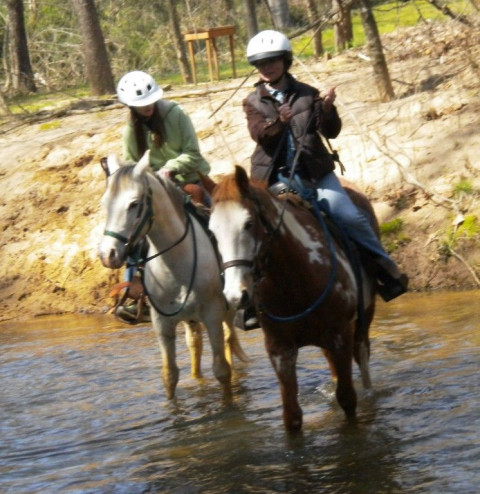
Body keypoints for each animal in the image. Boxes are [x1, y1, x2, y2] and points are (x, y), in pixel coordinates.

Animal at [98, 153, 248, 402]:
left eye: (134, 203)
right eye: (104, 203)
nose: (107, 255)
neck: (176, 261)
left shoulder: (213, 315)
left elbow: (222, 370)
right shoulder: (162, 323)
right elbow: (169, 375)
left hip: (225, 310)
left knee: (228, 339)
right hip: (190, 319)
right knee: (195, 344)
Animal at [207, 167, 378, 432]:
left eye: (248, 224)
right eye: (212, 232)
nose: (236, 295)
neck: (294, 279)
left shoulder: (341, 335)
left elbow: (348, 399)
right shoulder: (280, 349)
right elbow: (292, 416)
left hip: (363, 317)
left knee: (362, 355)